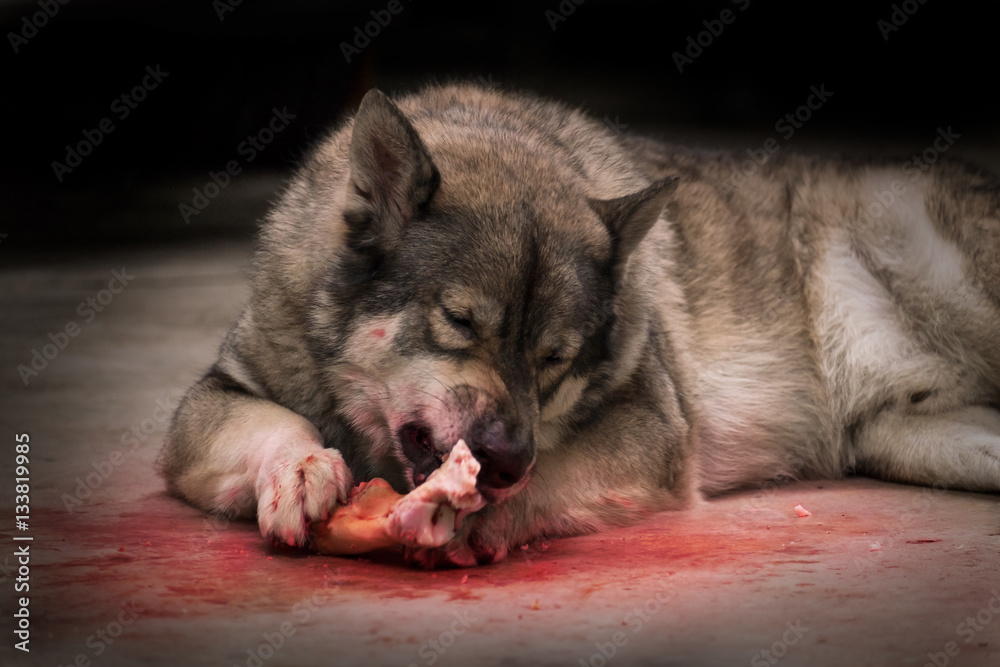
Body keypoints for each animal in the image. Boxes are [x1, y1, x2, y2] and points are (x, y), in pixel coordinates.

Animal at [159, 83, 1000, 567]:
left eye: (554, 358)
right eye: (459, 320)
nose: (501, 463)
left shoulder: (652, 429)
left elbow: (554, 472)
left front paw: (473, 518)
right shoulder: (211, 399)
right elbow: (272, 422)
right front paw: (301, 469)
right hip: (907, 438)